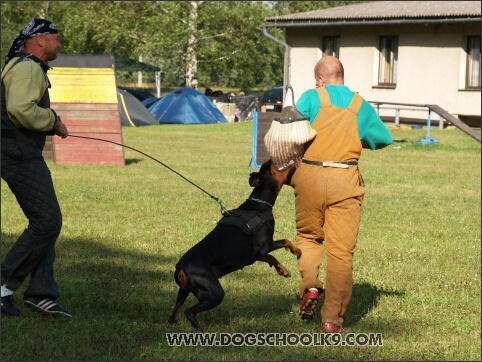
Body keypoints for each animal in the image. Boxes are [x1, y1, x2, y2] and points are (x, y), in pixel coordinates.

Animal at [168, 160, 300, 330]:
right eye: (268, 167)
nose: (269, 159)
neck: (259, 205)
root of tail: (181, 267)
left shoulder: (255, 254)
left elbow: (271, 257)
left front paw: (282, 270)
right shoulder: (265, 245)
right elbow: (285, 241)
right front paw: (298, 251)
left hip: (184, 291)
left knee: (174, 314)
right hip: (214, 293)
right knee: (190, 312)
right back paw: (203, 331)